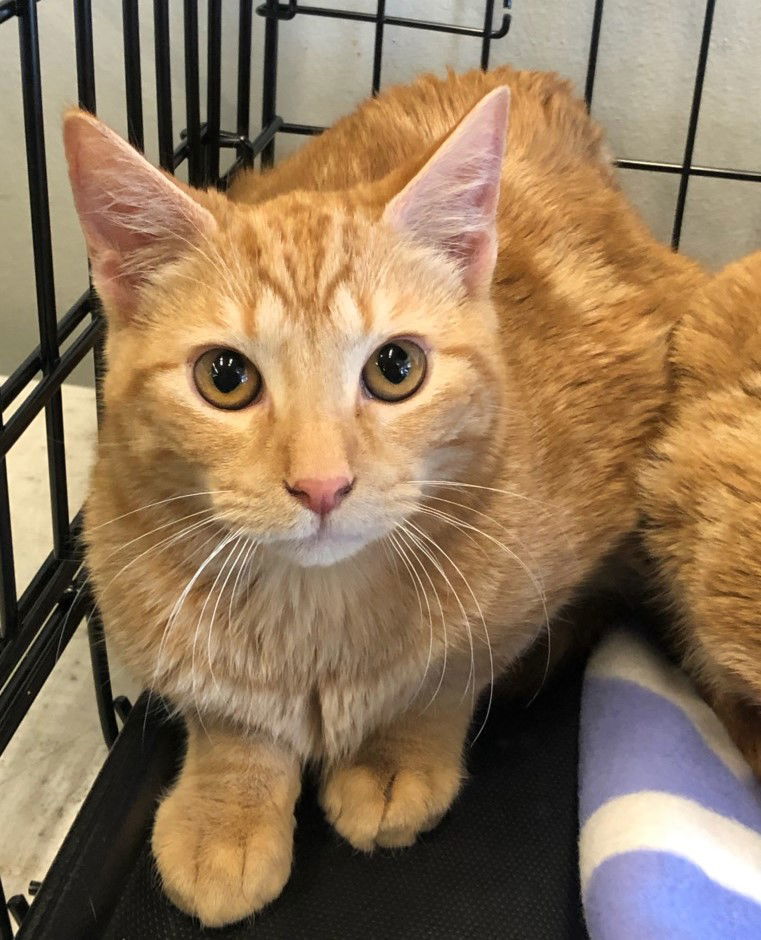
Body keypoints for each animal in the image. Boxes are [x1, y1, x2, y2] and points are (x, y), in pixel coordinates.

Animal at [63, 68, 700, 924]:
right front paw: (225, 805)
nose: (321, 483)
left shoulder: (524, 588)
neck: (313, 613)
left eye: (396, 368)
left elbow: (451, 671)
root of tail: (537, 80)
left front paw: (395, 753)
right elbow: (223, 708)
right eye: (224, 378)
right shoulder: (122, 563)